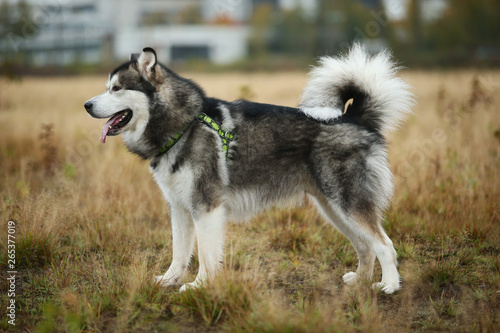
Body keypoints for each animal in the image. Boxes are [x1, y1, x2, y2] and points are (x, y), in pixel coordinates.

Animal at [84, 44, 414, 294]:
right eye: (107, 88)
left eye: (116, 88)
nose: (87, 105)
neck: (183, 126)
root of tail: (354, 117)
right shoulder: (179, 207)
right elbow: (179, 252)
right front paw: (169, 280)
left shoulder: (206, 207)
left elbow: (206, 255)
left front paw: (199, 286)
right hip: (333, 208)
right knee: (365, 246)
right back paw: (360, 280)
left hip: (347, 203)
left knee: (384, 244)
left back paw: (388, 286)